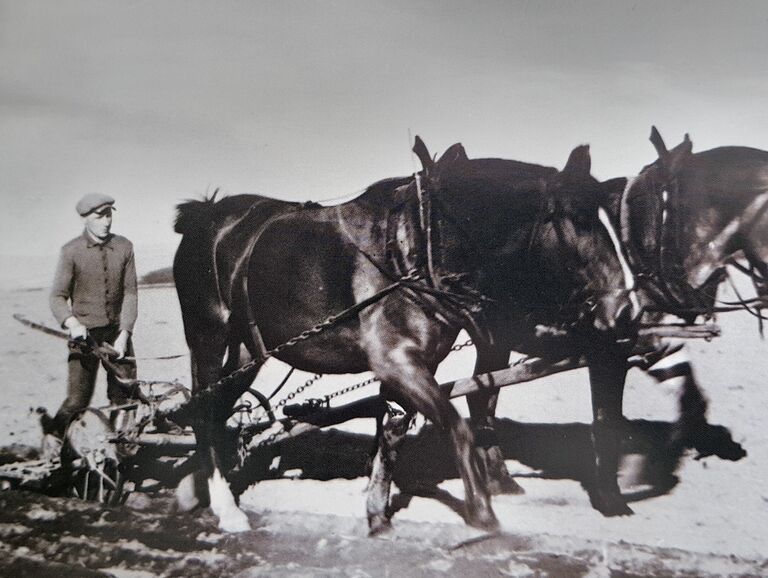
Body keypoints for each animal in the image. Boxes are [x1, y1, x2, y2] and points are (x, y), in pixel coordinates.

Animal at [172, 138, 641, 534]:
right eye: (580, 220)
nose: (625, 311)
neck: (416, 245)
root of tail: (206, 216)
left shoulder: (416, 364)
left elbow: (393, 434)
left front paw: (377, 513)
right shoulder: (395, 360)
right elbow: (457, 426)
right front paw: (482, 512)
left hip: (248, 349)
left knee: (220, 407)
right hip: (208, 335)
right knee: (203, 412)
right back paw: (225, 507)